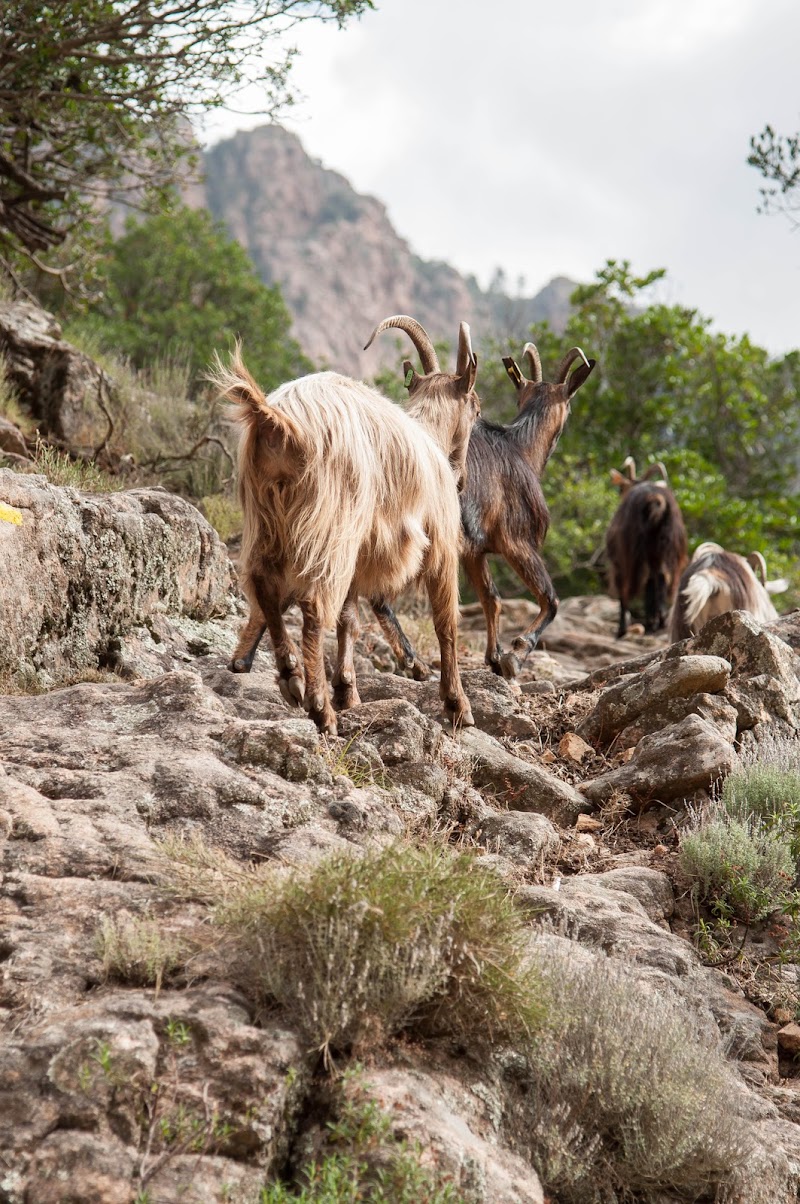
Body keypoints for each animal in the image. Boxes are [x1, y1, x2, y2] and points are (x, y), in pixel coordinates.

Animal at [212, 325, 477, 732]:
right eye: (476, 408)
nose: (461, 480)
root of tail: (277, 420)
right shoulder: (441, 543)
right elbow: (446, 622)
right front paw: (458, 705)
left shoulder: (361, 549)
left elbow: (349, 620)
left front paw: (348, 690)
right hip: (330, 523)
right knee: (312, 607)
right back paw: (320, 707)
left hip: (269, 518)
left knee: (263, 585)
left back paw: (291, 674)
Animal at [371, 341, 590, 679]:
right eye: (569, 406)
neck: (520, 448)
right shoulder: (517, 541)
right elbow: (550, 599)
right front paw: (515, 655)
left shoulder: (473, 552)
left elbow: (492, 598)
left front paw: (495, 656)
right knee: (377, 595)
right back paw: (415, 664)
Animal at [607, 452, 689, 640]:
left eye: (621, 487)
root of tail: (656, 500)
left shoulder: (618, 560)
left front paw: (622, 629)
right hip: (668, 545)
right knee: (664, 576)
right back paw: (661, 620)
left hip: (631, 552)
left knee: (628, 586)